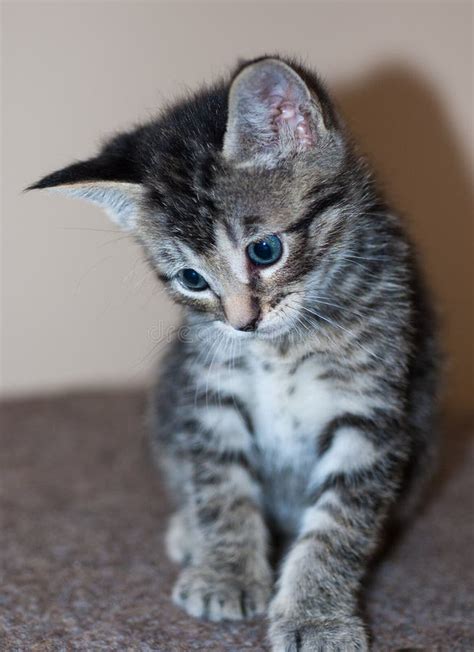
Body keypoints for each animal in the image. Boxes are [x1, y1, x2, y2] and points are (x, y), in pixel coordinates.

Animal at [30, 58, 440, 648]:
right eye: (192, 279)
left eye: (264, 250)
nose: (242, 323)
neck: (284, 345)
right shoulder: (210, 394)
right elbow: (220, 488)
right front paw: (225, 574)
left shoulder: (371, 411)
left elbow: (338, 526)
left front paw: (316, 614)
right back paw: (189, 532)